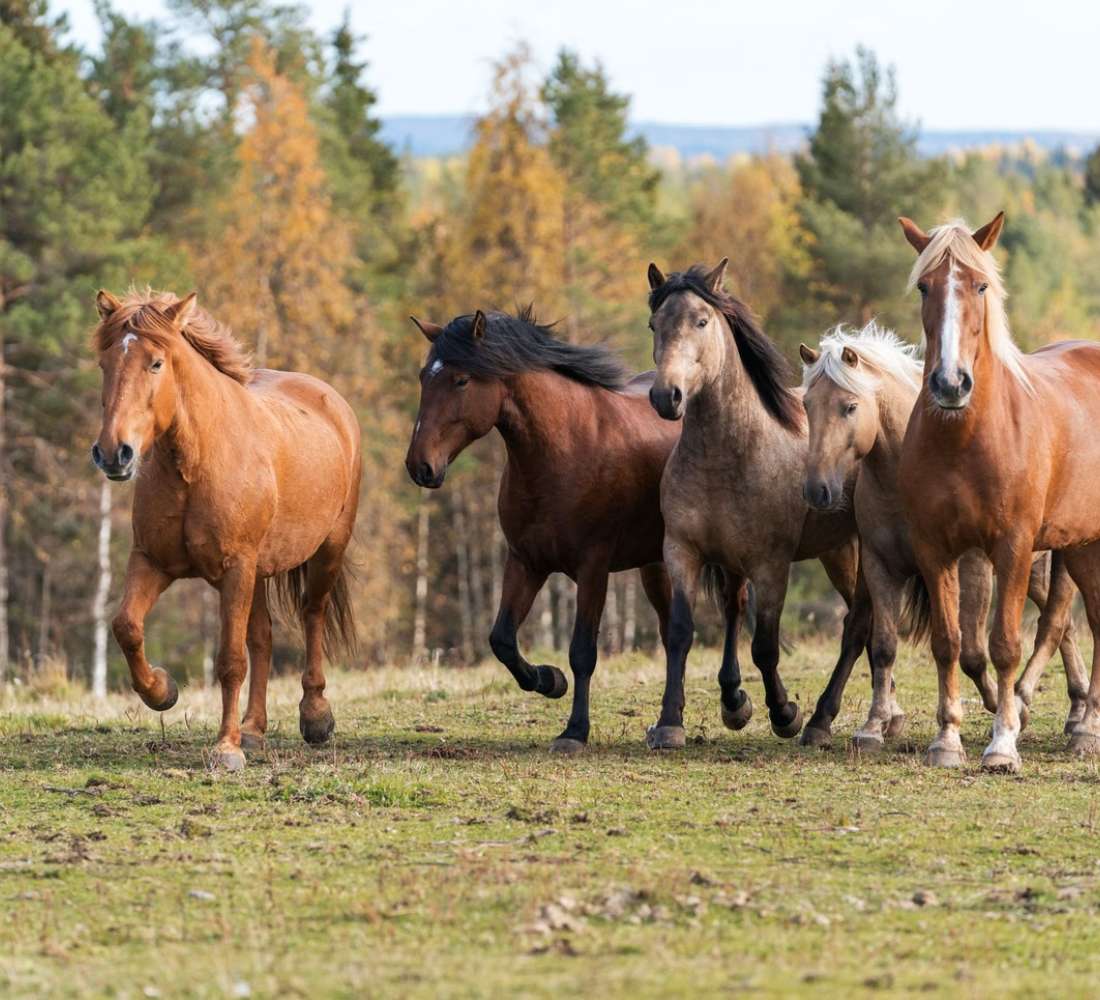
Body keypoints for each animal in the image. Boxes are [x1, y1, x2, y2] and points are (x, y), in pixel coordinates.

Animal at [91, 289, 360, 770]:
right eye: (105, 364)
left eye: (155, 363)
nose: (112, 453)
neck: (197, 460)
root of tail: (330, 400)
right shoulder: (153, 562)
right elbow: (127, 627)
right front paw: (162, 690)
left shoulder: (235, 569)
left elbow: (230, 659)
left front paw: (225, 748)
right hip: (258, 571)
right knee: (263, 637)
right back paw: (253, 729)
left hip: (326, 550)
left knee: (312, 614)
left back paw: (314, 716)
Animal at [404, 307, 749, 752]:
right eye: (423, 376)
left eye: (461, 379)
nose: (420, 466)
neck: (564, 450)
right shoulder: (526, 562)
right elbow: (502, 639)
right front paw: (549, 680)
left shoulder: (592, 568)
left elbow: (583, 651)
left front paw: (574, 730)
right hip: (657, 565)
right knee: (672, 630)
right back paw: (670, 721)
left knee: (733, 608)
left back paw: (735, 703)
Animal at [644, 259, 873, 751]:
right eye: (654, 324)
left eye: (701, 321)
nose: (666, 396)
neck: (730, 454)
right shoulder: (685, 552)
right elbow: (683, 632)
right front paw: (673, 720)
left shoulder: (771, 565)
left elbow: (765, 645)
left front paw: (784, 713)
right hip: (837, 551)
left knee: (860, 623)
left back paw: (822, 720)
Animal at [800, 322, 1087, 748]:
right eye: (806, 405)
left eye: (849, 406)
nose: (817, 490)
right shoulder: (880, 565)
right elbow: (884, 646)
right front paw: (872, 726)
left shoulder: (972, 564)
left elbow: (972, 652)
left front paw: (997, 707)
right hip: (1033, 567)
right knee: (1064, 628)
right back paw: (1076, 708)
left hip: (1060, 559)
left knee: (1054, 624)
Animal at [897, 212, 1100, 772]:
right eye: (924, 286)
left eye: (981, 285)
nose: (950, 384)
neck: (964, 436)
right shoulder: (936, 548)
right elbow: (948, 642)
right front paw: (947, 739)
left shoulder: (1012, 546)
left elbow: (1005, 643)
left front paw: (1003, 743)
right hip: (1082, 548)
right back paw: (1085, 729)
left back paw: (1086, 727)